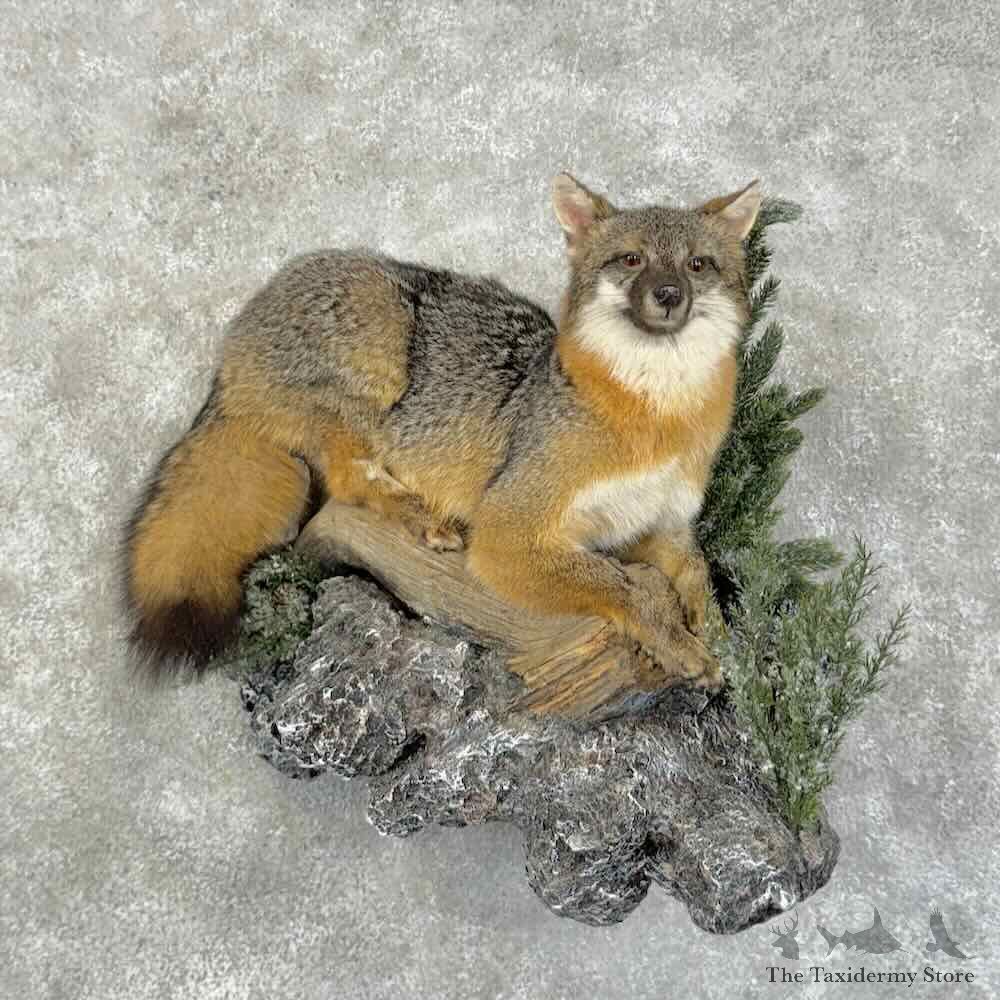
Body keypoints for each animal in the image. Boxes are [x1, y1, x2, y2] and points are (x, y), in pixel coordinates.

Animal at [123, 172, 761, 685]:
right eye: (631, 260)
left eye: (697, 265)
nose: (668, 294)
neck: (659, 419)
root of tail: (226, 361)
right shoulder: (509, 531)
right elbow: (620, 585)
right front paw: (676, 642)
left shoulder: (657, 525)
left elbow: (696, 572)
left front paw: (721, 637)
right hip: (380, 350)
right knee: (349, 480)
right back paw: (423, 517)